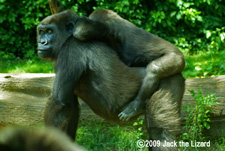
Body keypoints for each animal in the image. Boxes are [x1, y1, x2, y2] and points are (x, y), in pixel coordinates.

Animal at [37, 10, 185, 150]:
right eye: (41, 32)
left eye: (50, 31)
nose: (41, 42)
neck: (67, 38)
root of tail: (180, 74)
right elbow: (70, 107)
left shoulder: (70, 50)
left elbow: (59, 103)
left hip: (170, 80)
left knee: (160, 133)